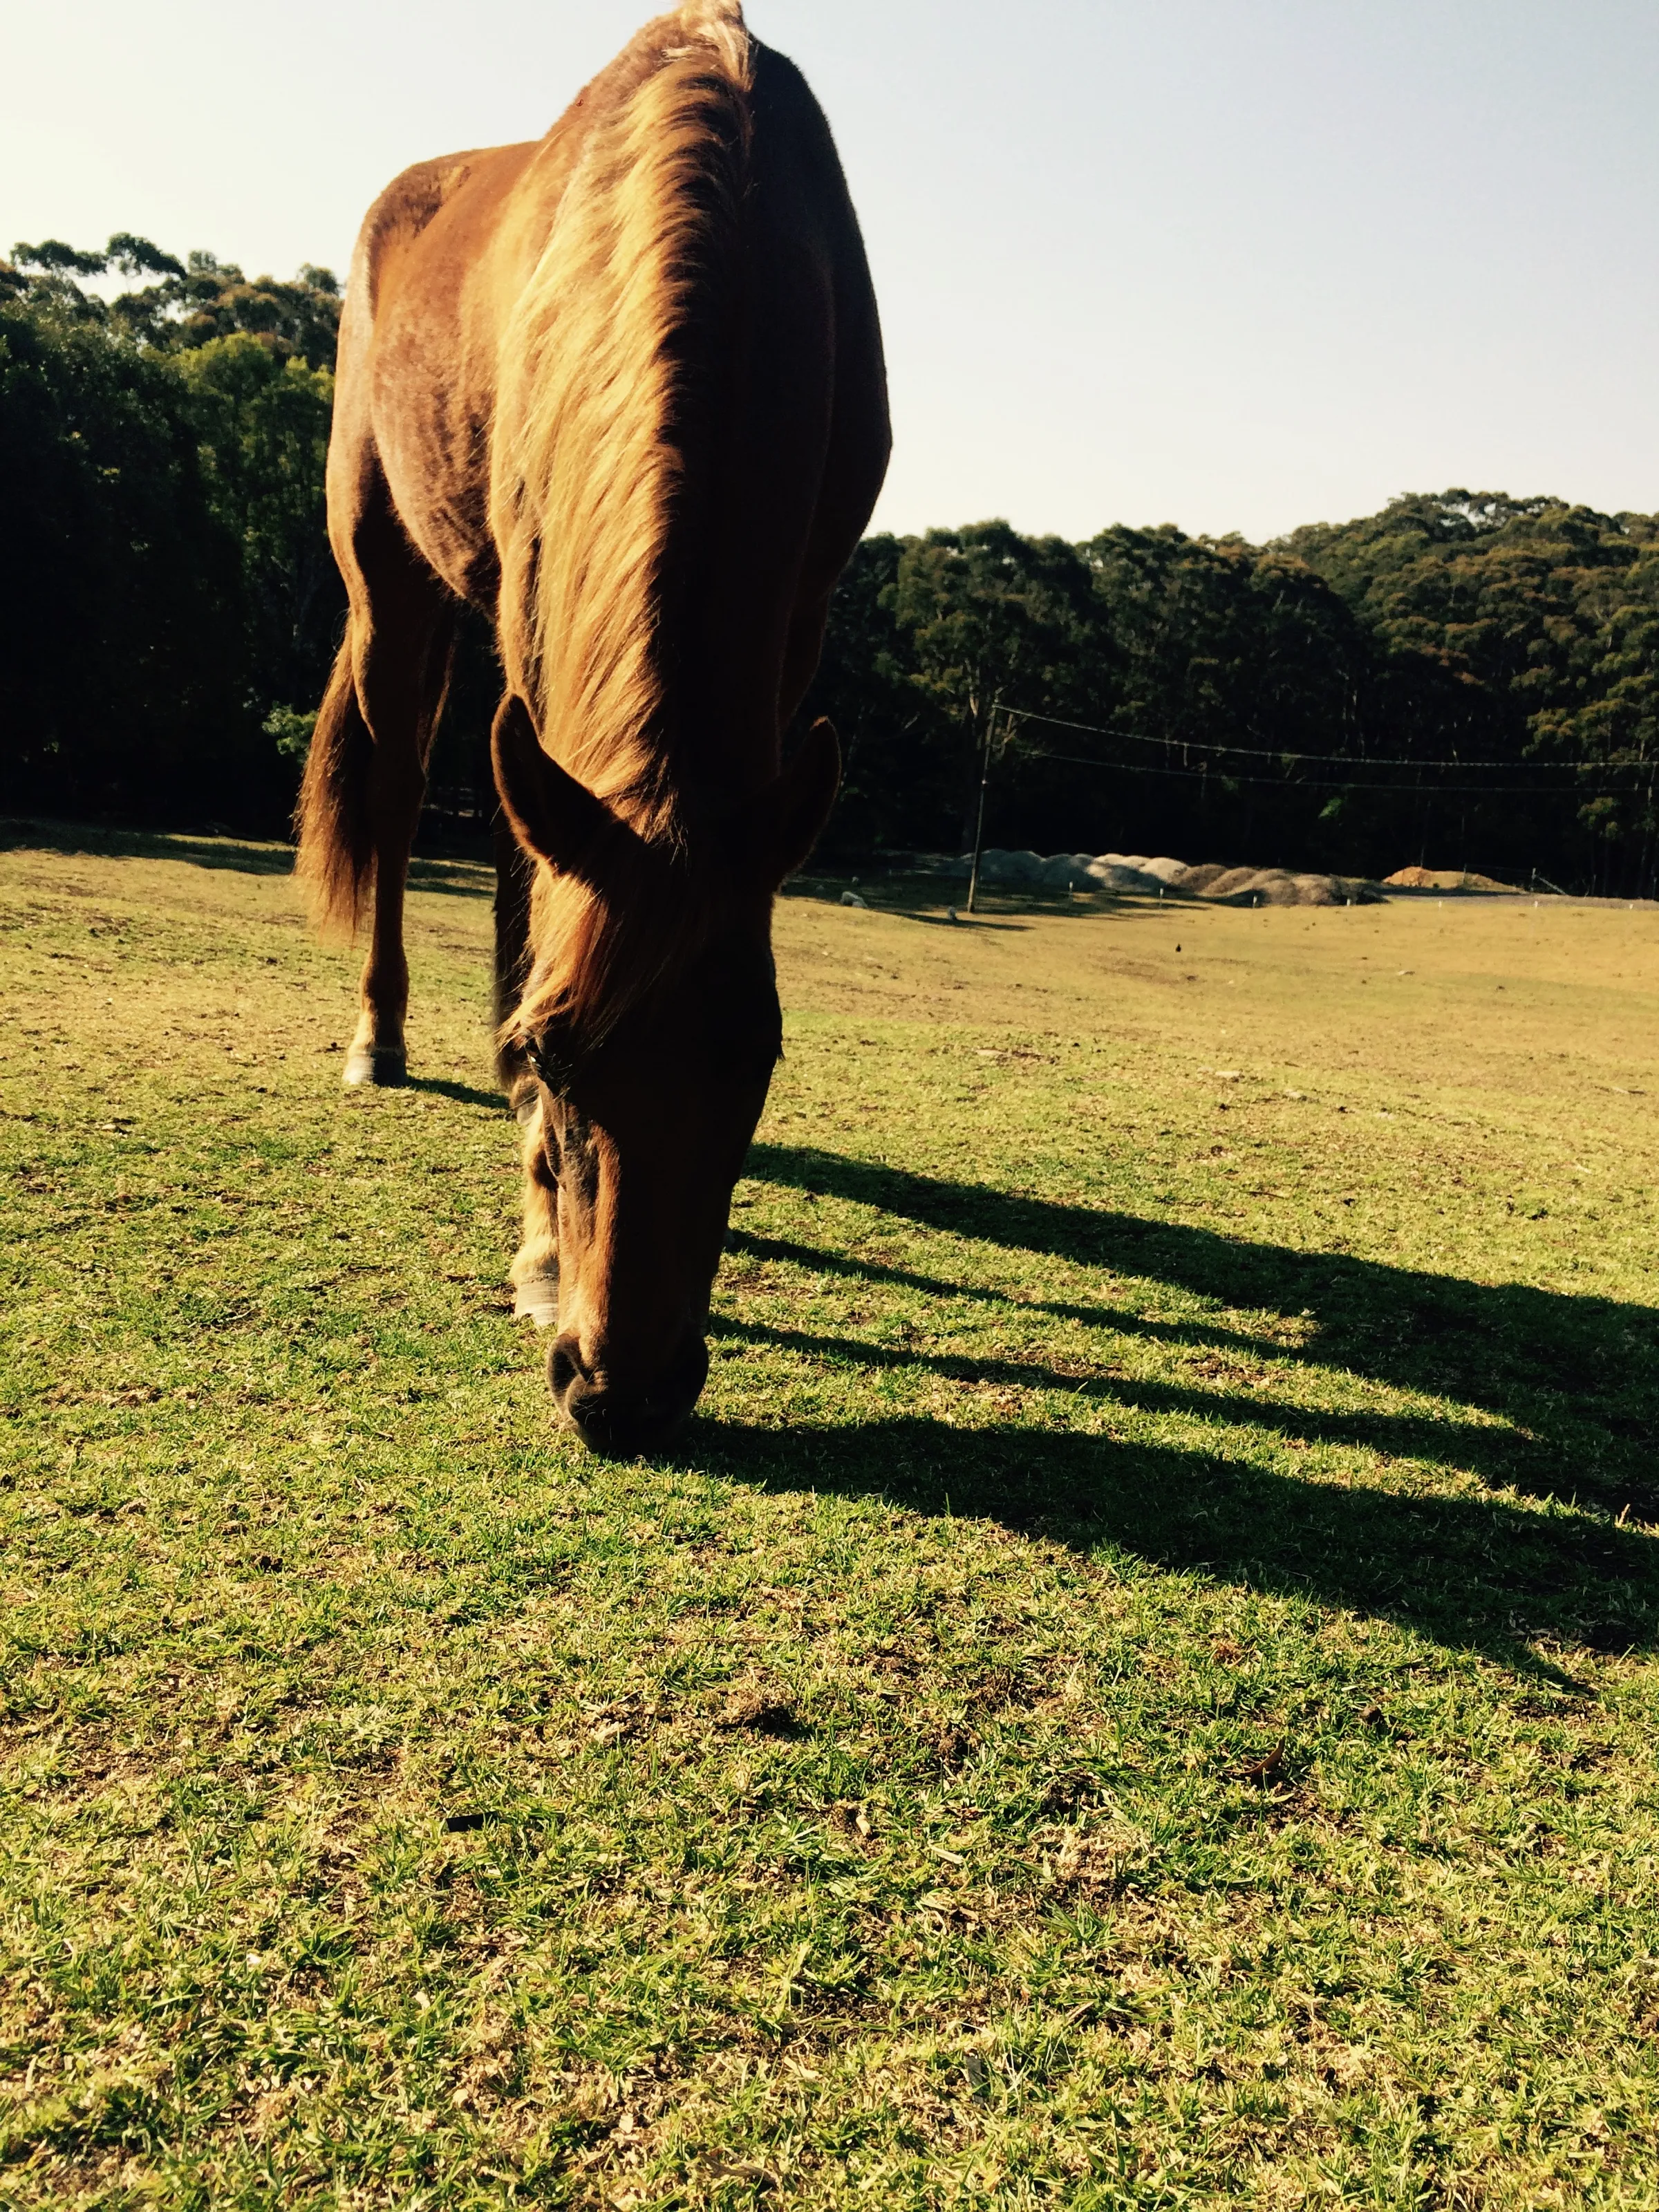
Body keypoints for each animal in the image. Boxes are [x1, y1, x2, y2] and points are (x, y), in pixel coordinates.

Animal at [293, 0, 889, 1454]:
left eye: (756, 1059)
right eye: (557, 1055)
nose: (623, 1393)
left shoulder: (798, 621)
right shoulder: (529, 605)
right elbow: (525, 885)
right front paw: (540, 1243)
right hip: (392, 577)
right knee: (399, 797)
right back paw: (380, 1038)